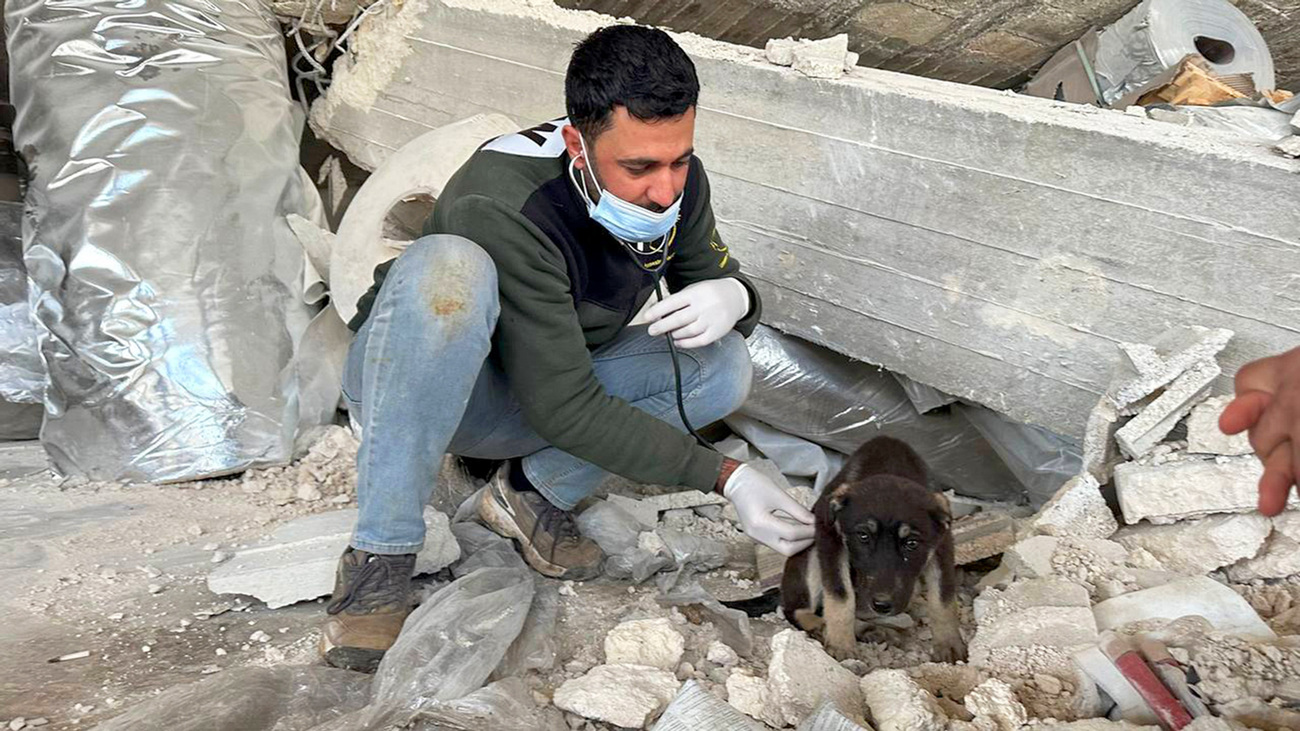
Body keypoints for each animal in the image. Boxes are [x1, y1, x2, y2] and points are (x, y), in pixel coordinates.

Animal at [774, 437, 961, 660]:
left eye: (912, 544)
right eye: (863, 536)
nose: (882, 605)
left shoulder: (942, 545)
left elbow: (943, 598)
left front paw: (949, 644)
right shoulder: (829, 537)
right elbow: (840, 595)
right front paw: (841, 643)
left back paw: (870, 629)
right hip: (809, 552)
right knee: (795, 610)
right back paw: (822, 626)